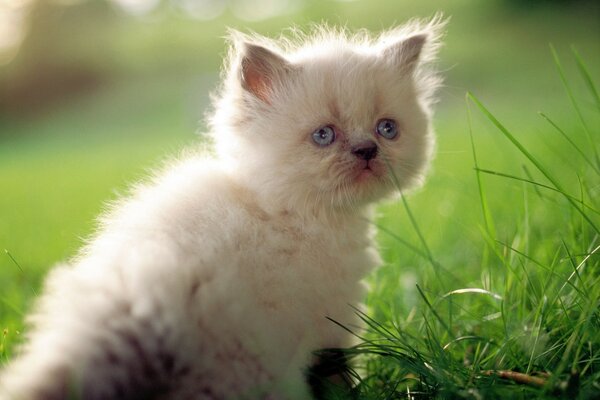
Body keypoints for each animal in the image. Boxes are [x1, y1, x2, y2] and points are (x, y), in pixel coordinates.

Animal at [0, 16, 440, 400]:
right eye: (323, 136)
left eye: (387, 129)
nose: (367, 150)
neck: (287, 212)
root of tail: (145, 312)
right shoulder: (333, 323)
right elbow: (341, 377)